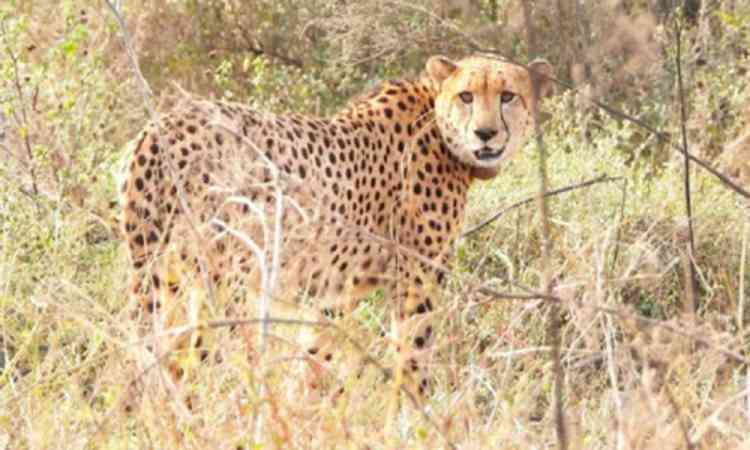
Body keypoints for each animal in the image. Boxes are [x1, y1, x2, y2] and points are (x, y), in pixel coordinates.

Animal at [121, 54, 554, 398]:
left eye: (507, 96)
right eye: (466, 96)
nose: (485, 133)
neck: (437, 124)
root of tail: (159, 127)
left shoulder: (332, 292)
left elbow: (317, 360)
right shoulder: (416, 279)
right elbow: (412, 357)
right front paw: (413, 416)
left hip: (165, 277)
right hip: (221, 282)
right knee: (187, 361)